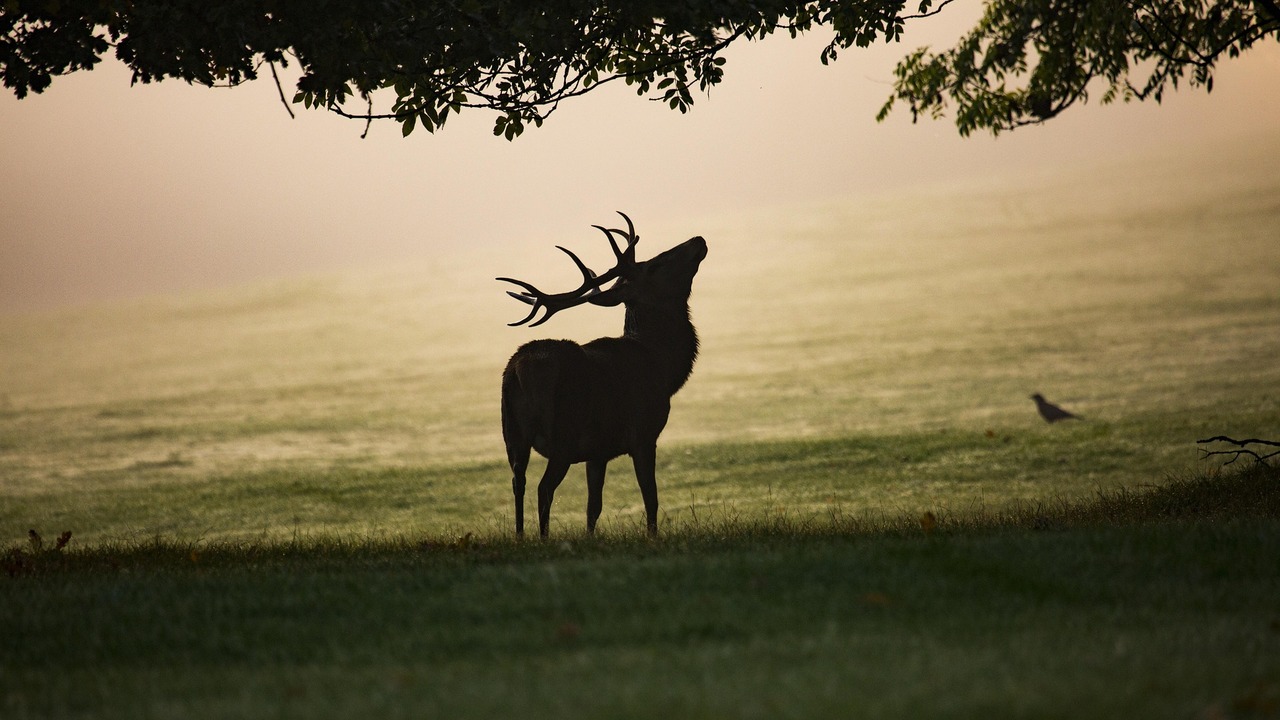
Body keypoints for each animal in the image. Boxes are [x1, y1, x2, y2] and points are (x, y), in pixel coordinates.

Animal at [497, 212, 707, 538]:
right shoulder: (644, 433)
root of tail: (519, 370)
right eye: (655, 265)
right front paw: (652, 536)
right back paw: (543, 539)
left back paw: (520, 538)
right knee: (544, 489)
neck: (663, 366)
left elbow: (592, 507)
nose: (698, 240)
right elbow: (651, 497)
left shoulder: (597, 451)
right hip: (563, 433)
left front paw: (590, 537)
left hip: (512, 433)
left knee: (518, 482)